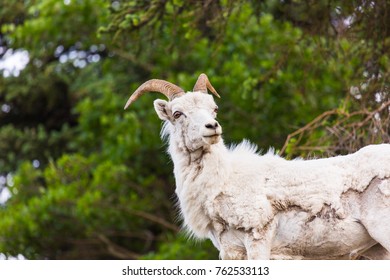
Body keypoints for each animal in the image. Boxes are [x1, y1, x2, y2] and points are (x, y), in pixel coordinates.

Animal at [125, 73, 390, 260]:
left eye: (214, 109)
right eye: (178, 113)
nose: (212, 127)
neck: (223, 181)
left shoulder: (258, 238)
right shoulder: (231, 251)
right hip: (377, 250)